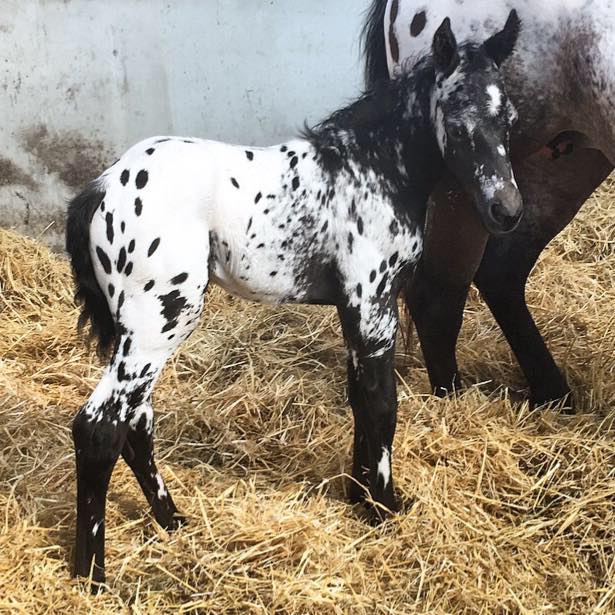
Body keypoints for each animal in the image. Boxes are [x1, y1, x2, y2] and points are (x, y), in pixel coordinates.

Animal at [364, 1, 615, 410]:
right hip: (466, 186)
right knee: (438, 292)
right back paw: (452, 402)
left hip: (565, 162)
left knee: (500, 272)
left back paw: (555, 396)